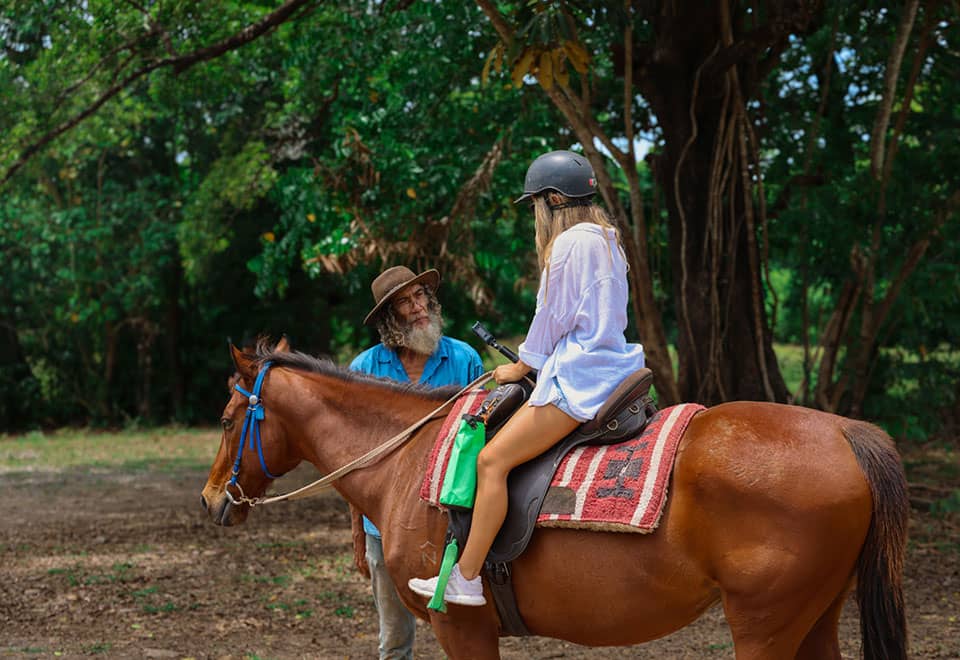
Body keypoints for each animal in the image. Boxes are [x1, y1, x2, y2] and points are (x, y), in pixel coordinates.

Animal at [201, 341, 909, 660]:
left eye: (230, 417)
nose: (211, 499)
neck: (407, 460)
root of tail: (847, 432)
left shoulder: (462, 628)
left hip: (766, 624)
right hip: (815, 613)